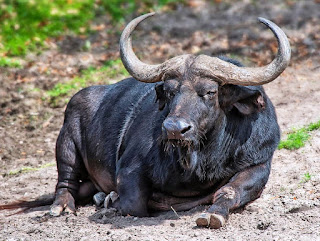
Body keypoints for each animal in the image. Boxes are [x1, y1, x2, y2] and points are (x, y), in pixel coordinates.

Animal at [0, 12, 290, 228]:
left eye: (210, 92)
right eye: (170, 91)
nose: (174, 129)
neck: (200, 160)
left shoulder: (259, 163)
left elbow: (229, 191)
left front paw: (213, 214)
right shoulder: (130, 168)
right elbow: (134, 203)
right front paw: (113, 199)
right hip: (66, 143)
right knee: (65, 182)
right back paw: (63, 207)